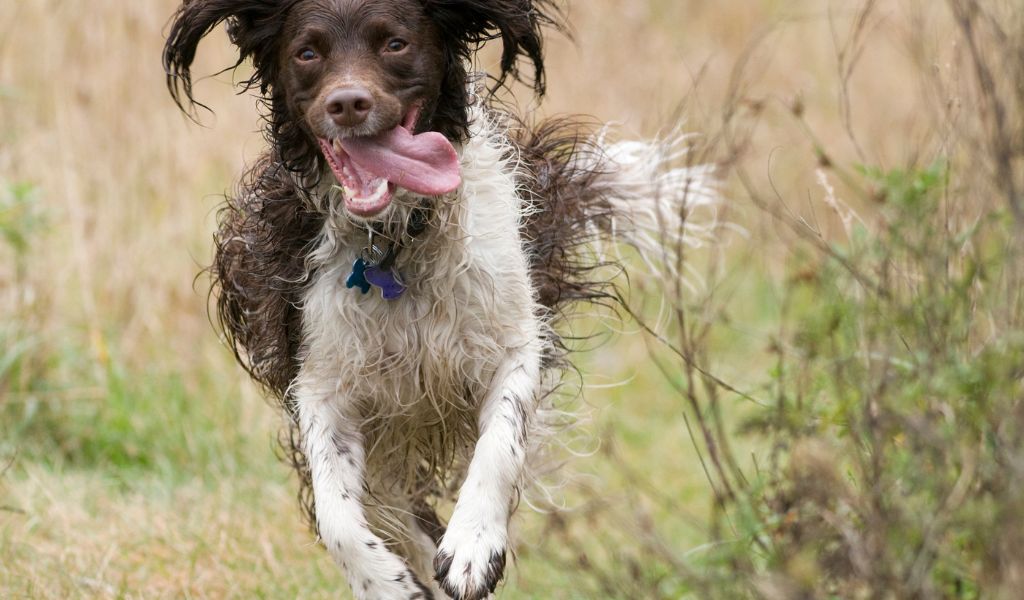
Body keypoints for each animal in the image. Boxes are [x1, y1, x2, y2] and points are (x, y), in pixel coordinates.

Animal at [163, 2, 716, 593]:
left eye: (395, 44)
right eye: (307, 52)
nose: (348, 103)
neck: (394, 241)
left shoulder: (513, 343)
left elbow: (500, 445)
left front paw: (473, 545)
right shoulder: (320, 381)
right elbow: (338, 516)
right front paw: (386, 582)